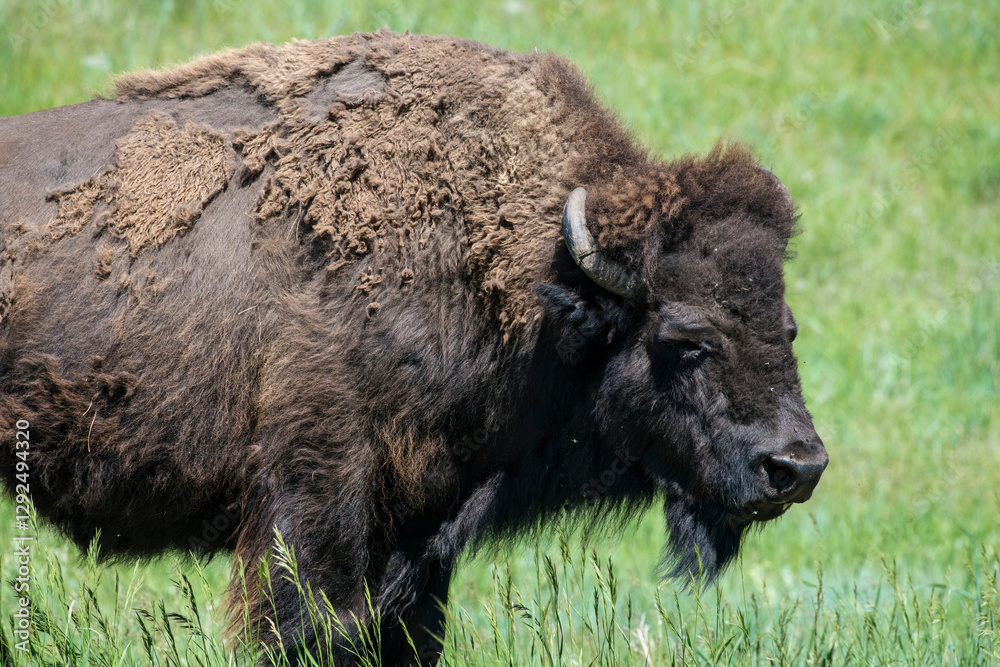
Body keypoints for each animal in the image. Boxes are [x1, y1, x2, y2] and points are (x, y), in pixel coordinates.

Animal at [0, 31, 828, 666]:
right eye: (685, 337)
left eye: (786, 326)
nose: (797, 465)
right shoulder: (318, 502)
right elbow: (307, 625)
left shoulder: (423, 533)